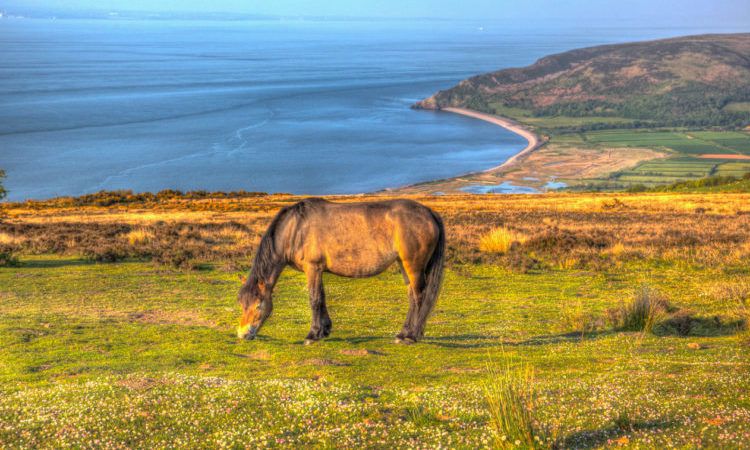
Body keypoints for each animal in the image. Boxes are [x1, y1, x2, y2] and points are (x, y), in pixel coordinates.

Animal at [236, 197, 445, 344]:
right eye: (242, 305)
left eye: (258, 305)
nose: (243, 334)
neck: (295, 228)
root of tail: (429, 212)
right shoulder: (318, 270)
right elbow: (321, 297)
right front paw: (324, 330)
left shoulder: (312, 268)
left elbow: (314, 299)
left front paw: (312, 335)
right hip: (403, 264)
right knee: (412, 296)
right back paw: (403, 333)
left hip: (413, 266)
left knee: (419, 297)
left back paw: (411, 336)